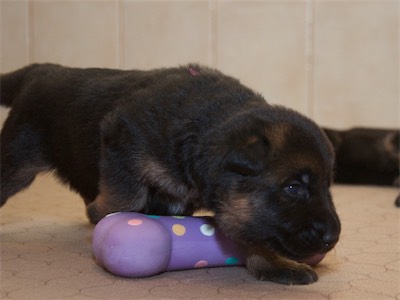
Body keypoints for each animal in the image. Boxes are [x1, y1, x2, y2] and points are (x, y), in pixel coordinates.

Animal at [0, 63, 340, 284]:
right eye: (293, 188)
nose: (332, 237)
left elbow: (247, 232)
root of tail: (41, 70)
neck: (205, 127)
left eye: (328, 186)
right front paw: (106, 216)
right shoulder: (119, 139)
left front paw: (271, 263)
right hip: (16, 162)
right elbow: (125, 198)